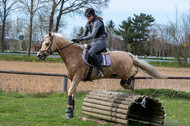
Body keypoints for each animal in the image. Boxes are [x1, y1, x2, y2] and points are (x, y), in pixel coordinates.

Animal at [36, 32, 167, 118]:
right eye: (42, 43)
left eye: (47, 43)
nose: (39, 55)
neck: (73, 56)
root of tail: (129, 54)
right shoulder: (71, 79)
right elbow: (72, 93)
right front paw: (71, 111)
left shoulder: (77, 78)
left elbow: (69, 92)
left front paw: (68, 112)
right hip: (120, 74)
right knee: (127, 78)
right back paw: (127, 84)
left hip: (125, 71)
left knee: (135, 71)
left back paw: (129, 83)